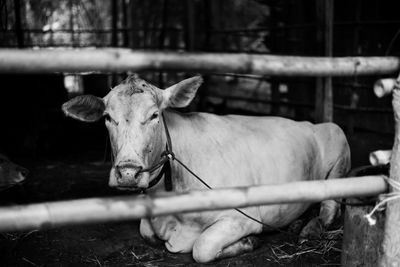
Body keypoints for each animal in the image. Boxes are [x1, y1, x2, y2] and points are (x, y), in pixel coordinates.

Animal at [62, 75, 350, 264]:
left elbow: (202, 248)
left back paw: (309, 229)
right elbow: (146, 232)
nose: (128, 173)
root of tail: (314, 123)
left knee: (329, 208)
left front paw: (249, 242)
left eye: (154, 115)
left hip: (338, 154)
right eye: (108, 117)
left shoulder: (242, 217)